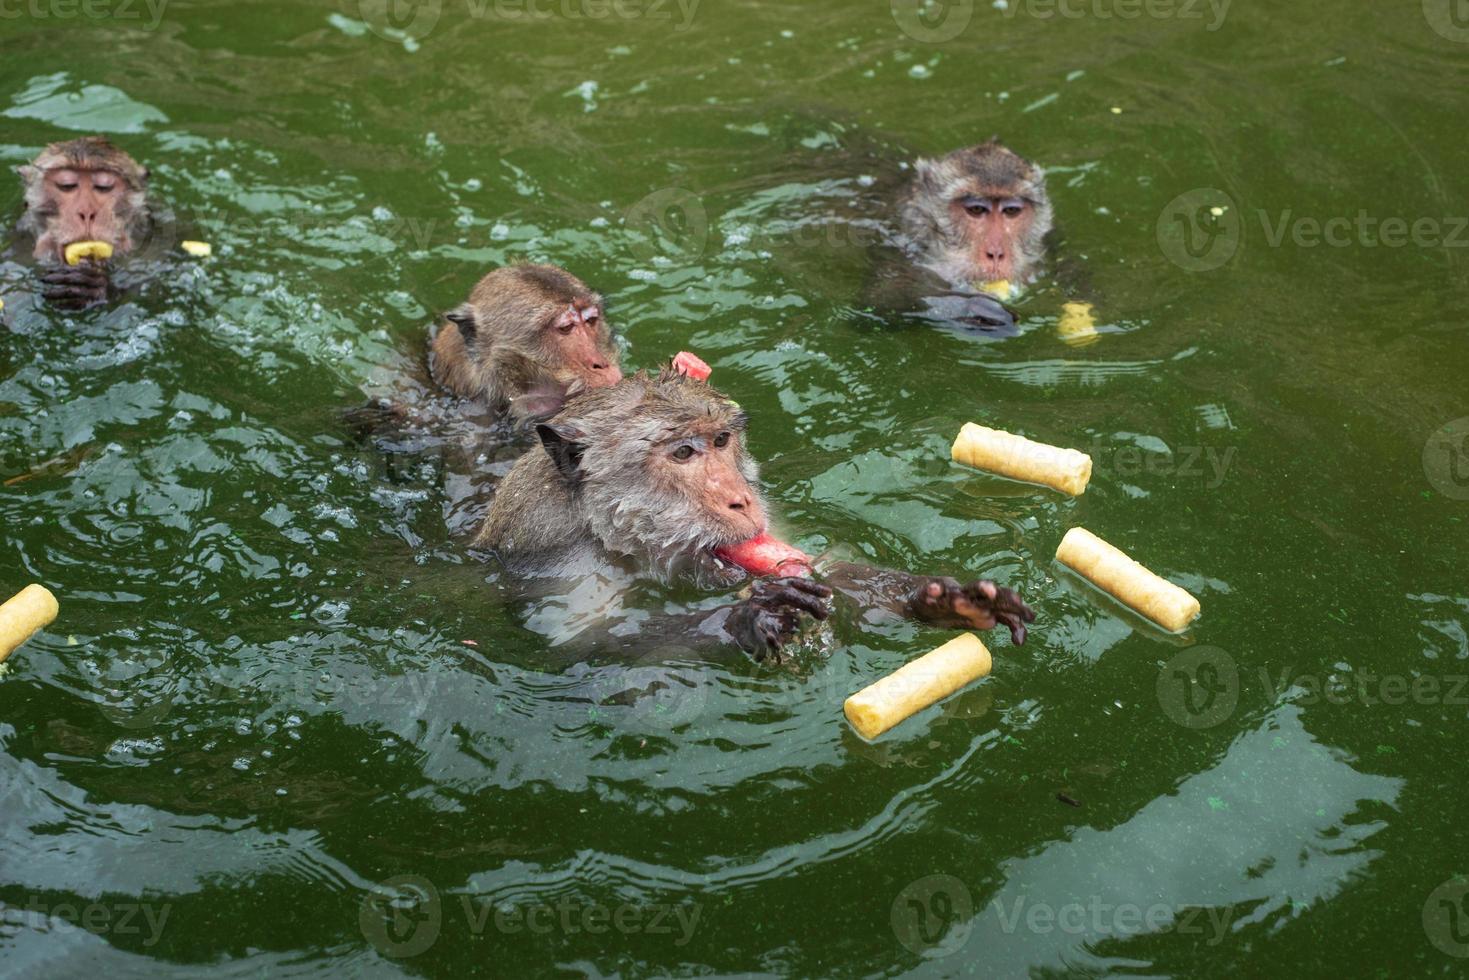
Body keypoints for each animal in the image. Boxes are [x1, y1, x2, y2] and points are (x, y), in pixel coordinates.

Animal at [475, 370, 1028, 667]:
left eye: (721, 441)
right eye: (683, 452)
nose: (741, 500)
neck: (604, 533)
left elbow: (821, 570)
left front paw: (936, 597)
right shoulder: (563, 561)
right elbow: (582, 646)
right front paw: (747, 617)